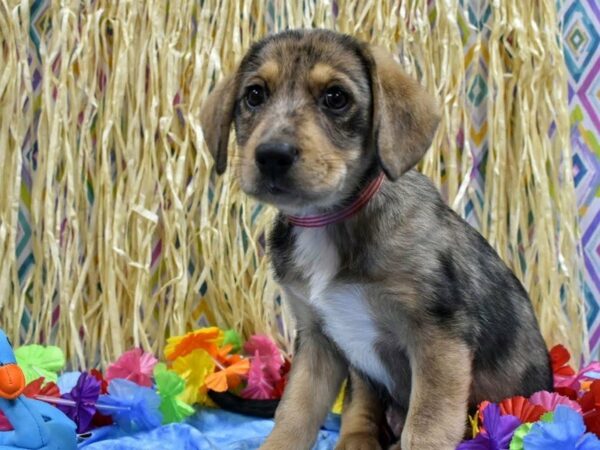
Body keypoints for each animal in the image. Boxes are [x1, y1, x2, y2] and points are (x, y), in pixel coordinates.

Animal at [202, 29, 552, 448]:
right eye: (255, 95)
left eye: (336, 97)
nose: (271, 155)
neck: (327, 221)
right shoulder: (317, 341)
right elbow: (293, 415)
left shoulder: (439, 338)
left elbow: (427, 425)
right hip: (361, 371)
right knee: (359, 409)